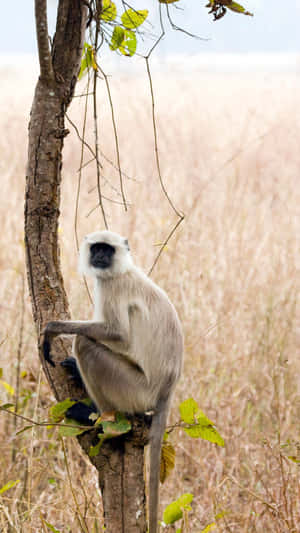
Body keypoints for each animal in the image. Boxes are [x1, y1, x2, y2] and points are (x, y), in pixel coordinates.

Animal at [42, 229, 183, 532]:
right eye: (97, 248)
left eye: (107, 250)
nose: (99, 256)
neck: (123, 270)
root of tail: (167, 389)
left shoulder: (112, 288)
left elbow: (118, 335)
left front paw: (52, 329)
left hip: (134, 389)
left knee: (85, 344)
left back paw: (96, 416)